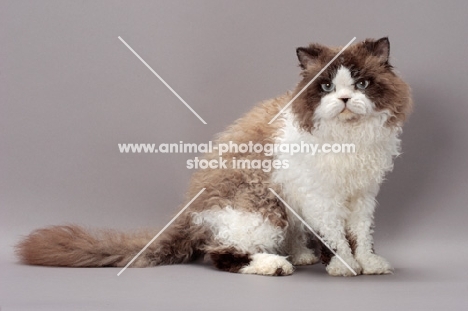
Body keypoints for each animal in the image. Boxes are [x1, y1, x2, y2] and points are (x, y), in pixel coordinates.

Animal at [14, 37, 412, 278]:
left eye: (361, 84)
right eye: (327, 87)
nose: (343, 99)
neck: (349, 140)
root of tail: (188, 213)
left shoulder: (362, 195)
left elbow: (361, 233)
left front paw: (369, 263)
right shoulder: (320, 197)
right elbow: (336, 236)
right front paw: (345, 266)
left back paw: (299, 256)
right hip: (262, 207)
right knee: (222, 253)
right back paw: (276, 265)